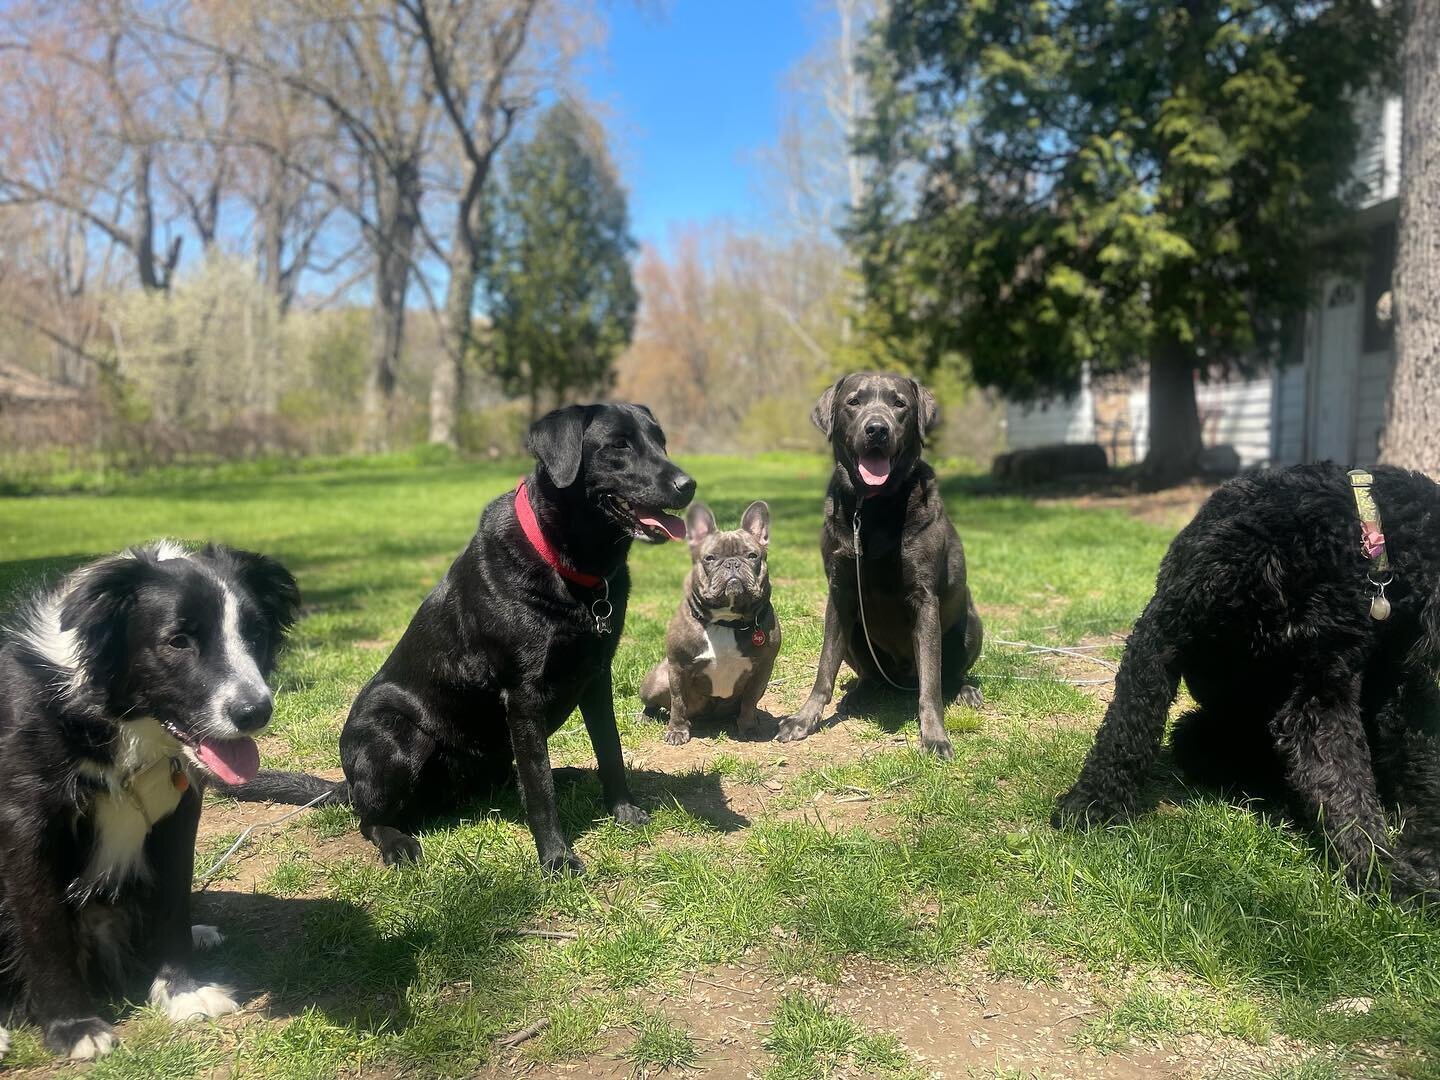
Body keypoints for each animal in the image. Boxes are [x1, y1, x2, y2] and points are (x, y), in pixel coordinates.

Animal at [0, 541, 298, 1059]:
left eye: (256, 633)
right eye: (178, 641)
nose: (255, 712)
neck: (117, 722)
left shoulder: (179, 810)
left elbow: (174, 900)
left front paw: (182, 990)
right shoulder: (25, 819)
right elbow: (44, 927)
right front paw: (75, 1028)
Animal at [1054, 466, 1440, 904]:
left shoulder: (1324, 684)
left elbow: (1345, 786)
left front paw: (1385, 873)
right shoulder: (1162, 632)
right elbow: (1127, 728)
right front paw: (1093, 802)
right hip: (1201, 731)